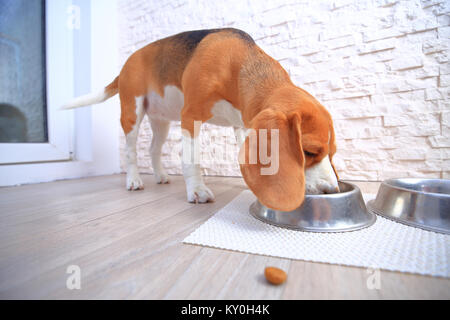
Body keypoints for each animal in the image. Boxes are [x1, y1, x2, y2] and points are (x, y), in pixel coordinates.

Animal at [62, 28, 338, 212]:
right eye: (308, 151)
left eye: (333, 153)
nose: (332, 191)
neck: (237, 66)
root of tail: (126, 64)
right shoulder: (191, 116)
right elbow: (192, 160)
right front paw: (197, 190)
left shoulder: (242, 125)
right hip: (132, 112)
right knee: (130, 151)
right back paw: (134, 180)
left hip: (161, 121)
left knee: (153, 149)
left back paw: (160, 176)